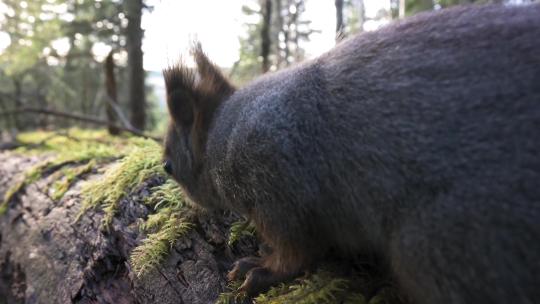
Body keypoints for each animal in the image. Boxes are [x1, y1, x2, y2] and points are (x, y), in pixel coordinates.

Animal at [161, 4, 540, 304]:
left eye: (168, 166)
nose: (186, 198)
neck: (221, 137)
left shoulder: (279, 190)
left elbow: (296, 249)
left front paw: (261, 268)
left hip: (443, 243)